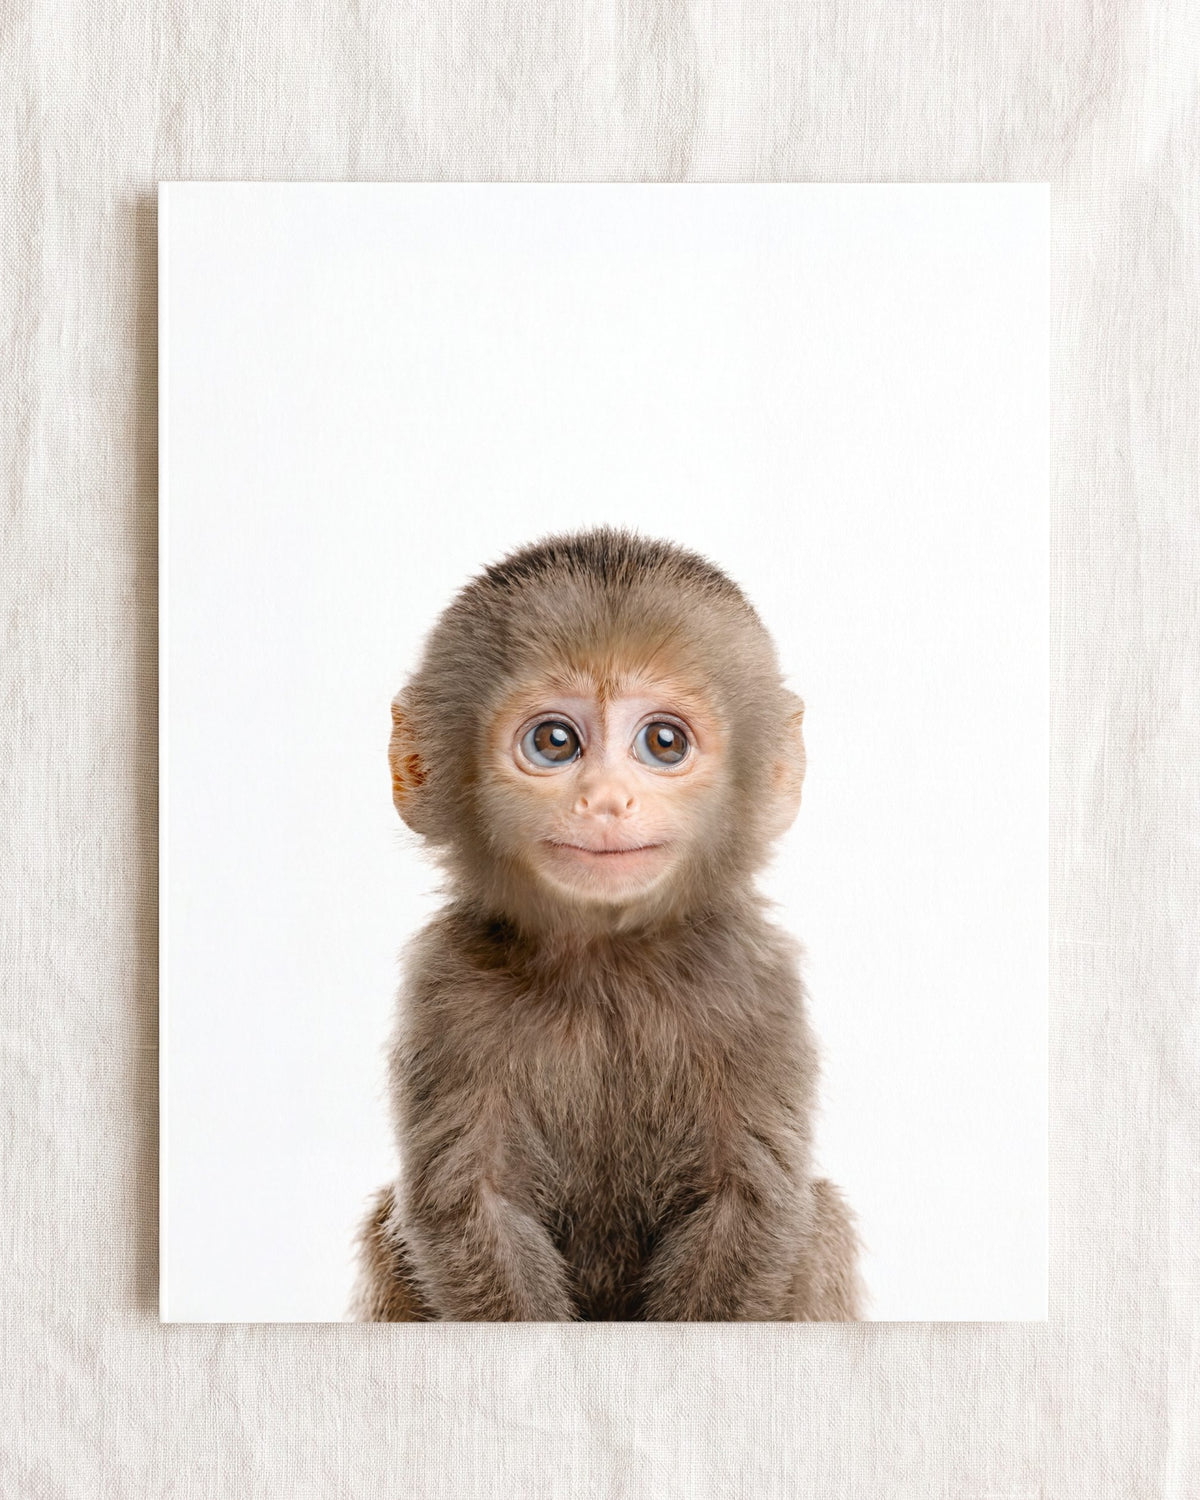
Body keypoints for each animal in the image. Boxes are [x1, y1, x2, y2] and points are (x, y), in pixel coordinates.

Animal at [352, 528, 862, 1321]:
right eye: (555, 742)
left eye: (663, 743)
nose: (606, 800)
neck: (607, 961)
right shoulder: (446, 986)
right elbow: (470, 1206)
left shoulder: (756, 983)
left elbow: (748, 1203)